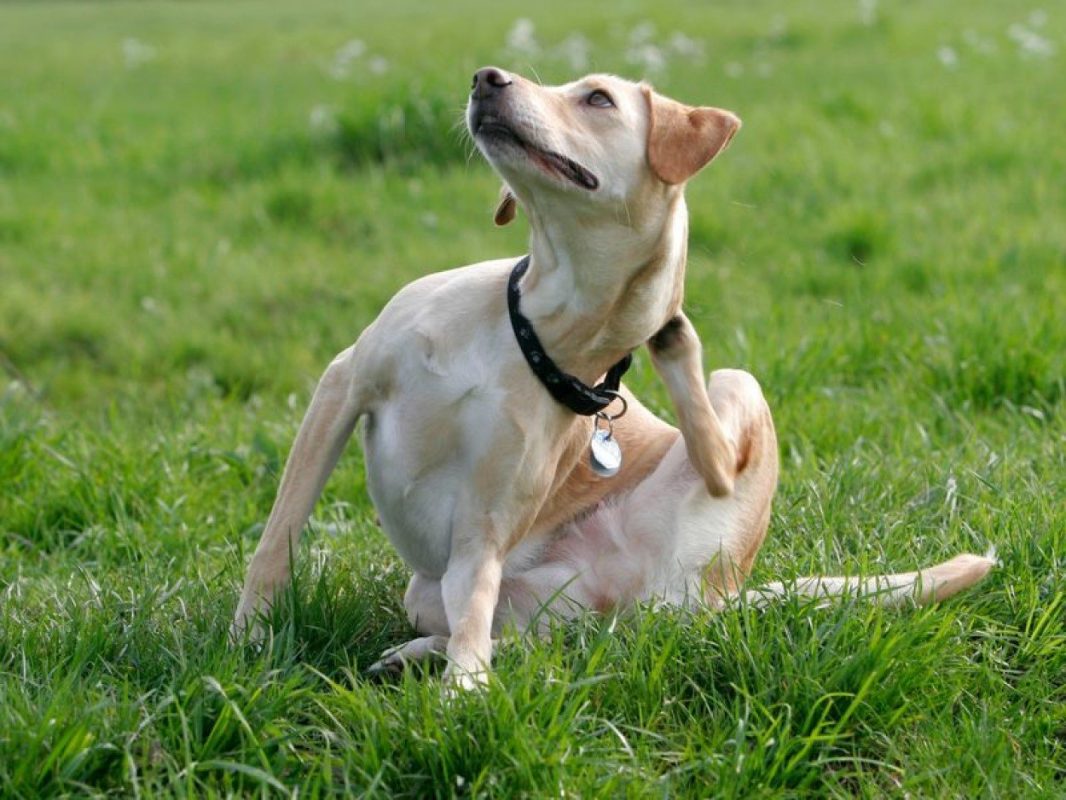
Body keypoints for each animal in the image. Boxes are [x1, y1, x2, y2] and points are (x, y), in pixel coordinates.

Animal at [231, 67, 989, 691]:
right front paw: (251, 635)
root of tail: (716, 596)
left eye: (597, 99)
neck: (532, 330)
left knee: (702, 473)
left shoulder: (485, 520)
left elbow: (473, 605)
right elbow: (280, 534)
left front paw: (460, 694)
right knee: (522, 639)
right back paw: (418, 655)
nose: (486, 77)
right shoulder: (343, 387)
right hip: (448, 593)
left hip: (726, 417)